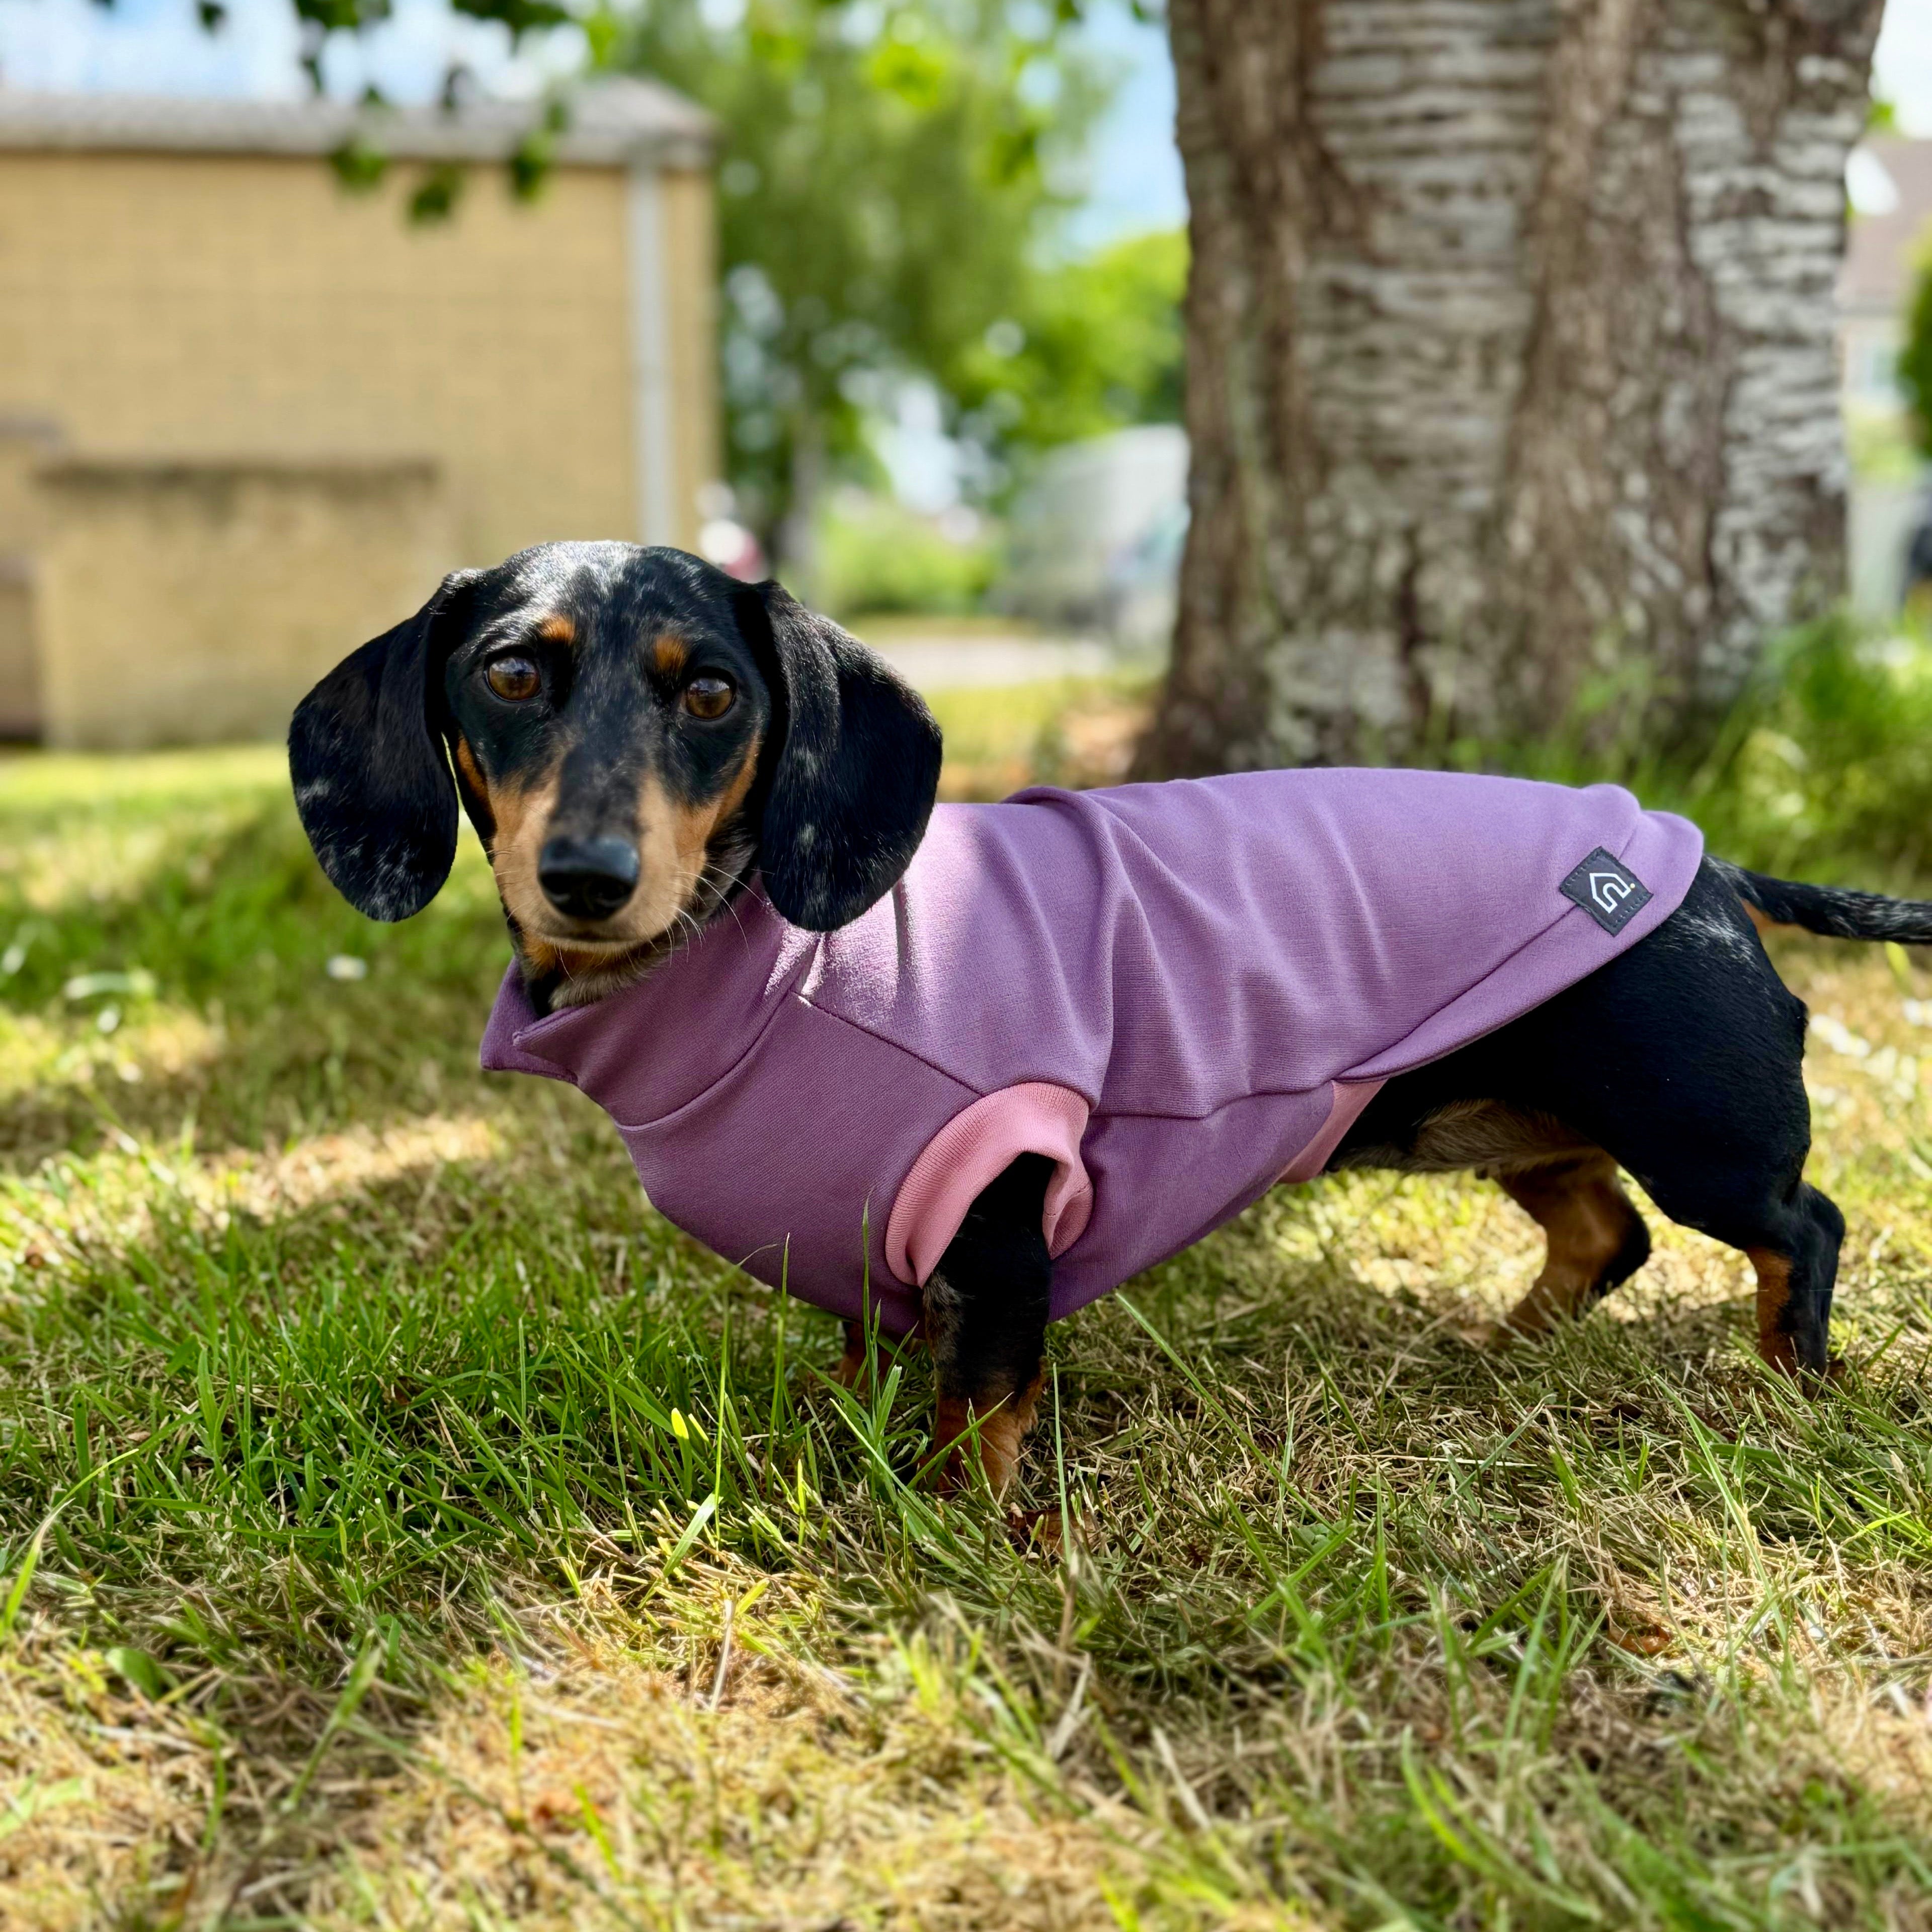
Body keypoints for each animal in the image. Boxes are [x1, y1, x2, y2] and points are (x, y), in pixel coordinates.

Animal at [291, 541, 1932, 1493]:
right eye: (511, 672)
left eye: (708, 698)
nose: (585, 876)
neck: (772, 964)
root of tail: (1706, 865)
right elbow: (868, 1349)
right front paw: (847, 1431)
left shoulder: (1001, 1193)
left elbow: (982, 1391)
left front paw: (957, 1523)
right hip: (1512, 1112)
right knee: (1604, 1233)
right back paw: (1495, 1349)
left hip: (1696, 1125)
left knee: (1800, 1224)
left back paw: (1790, 1377)